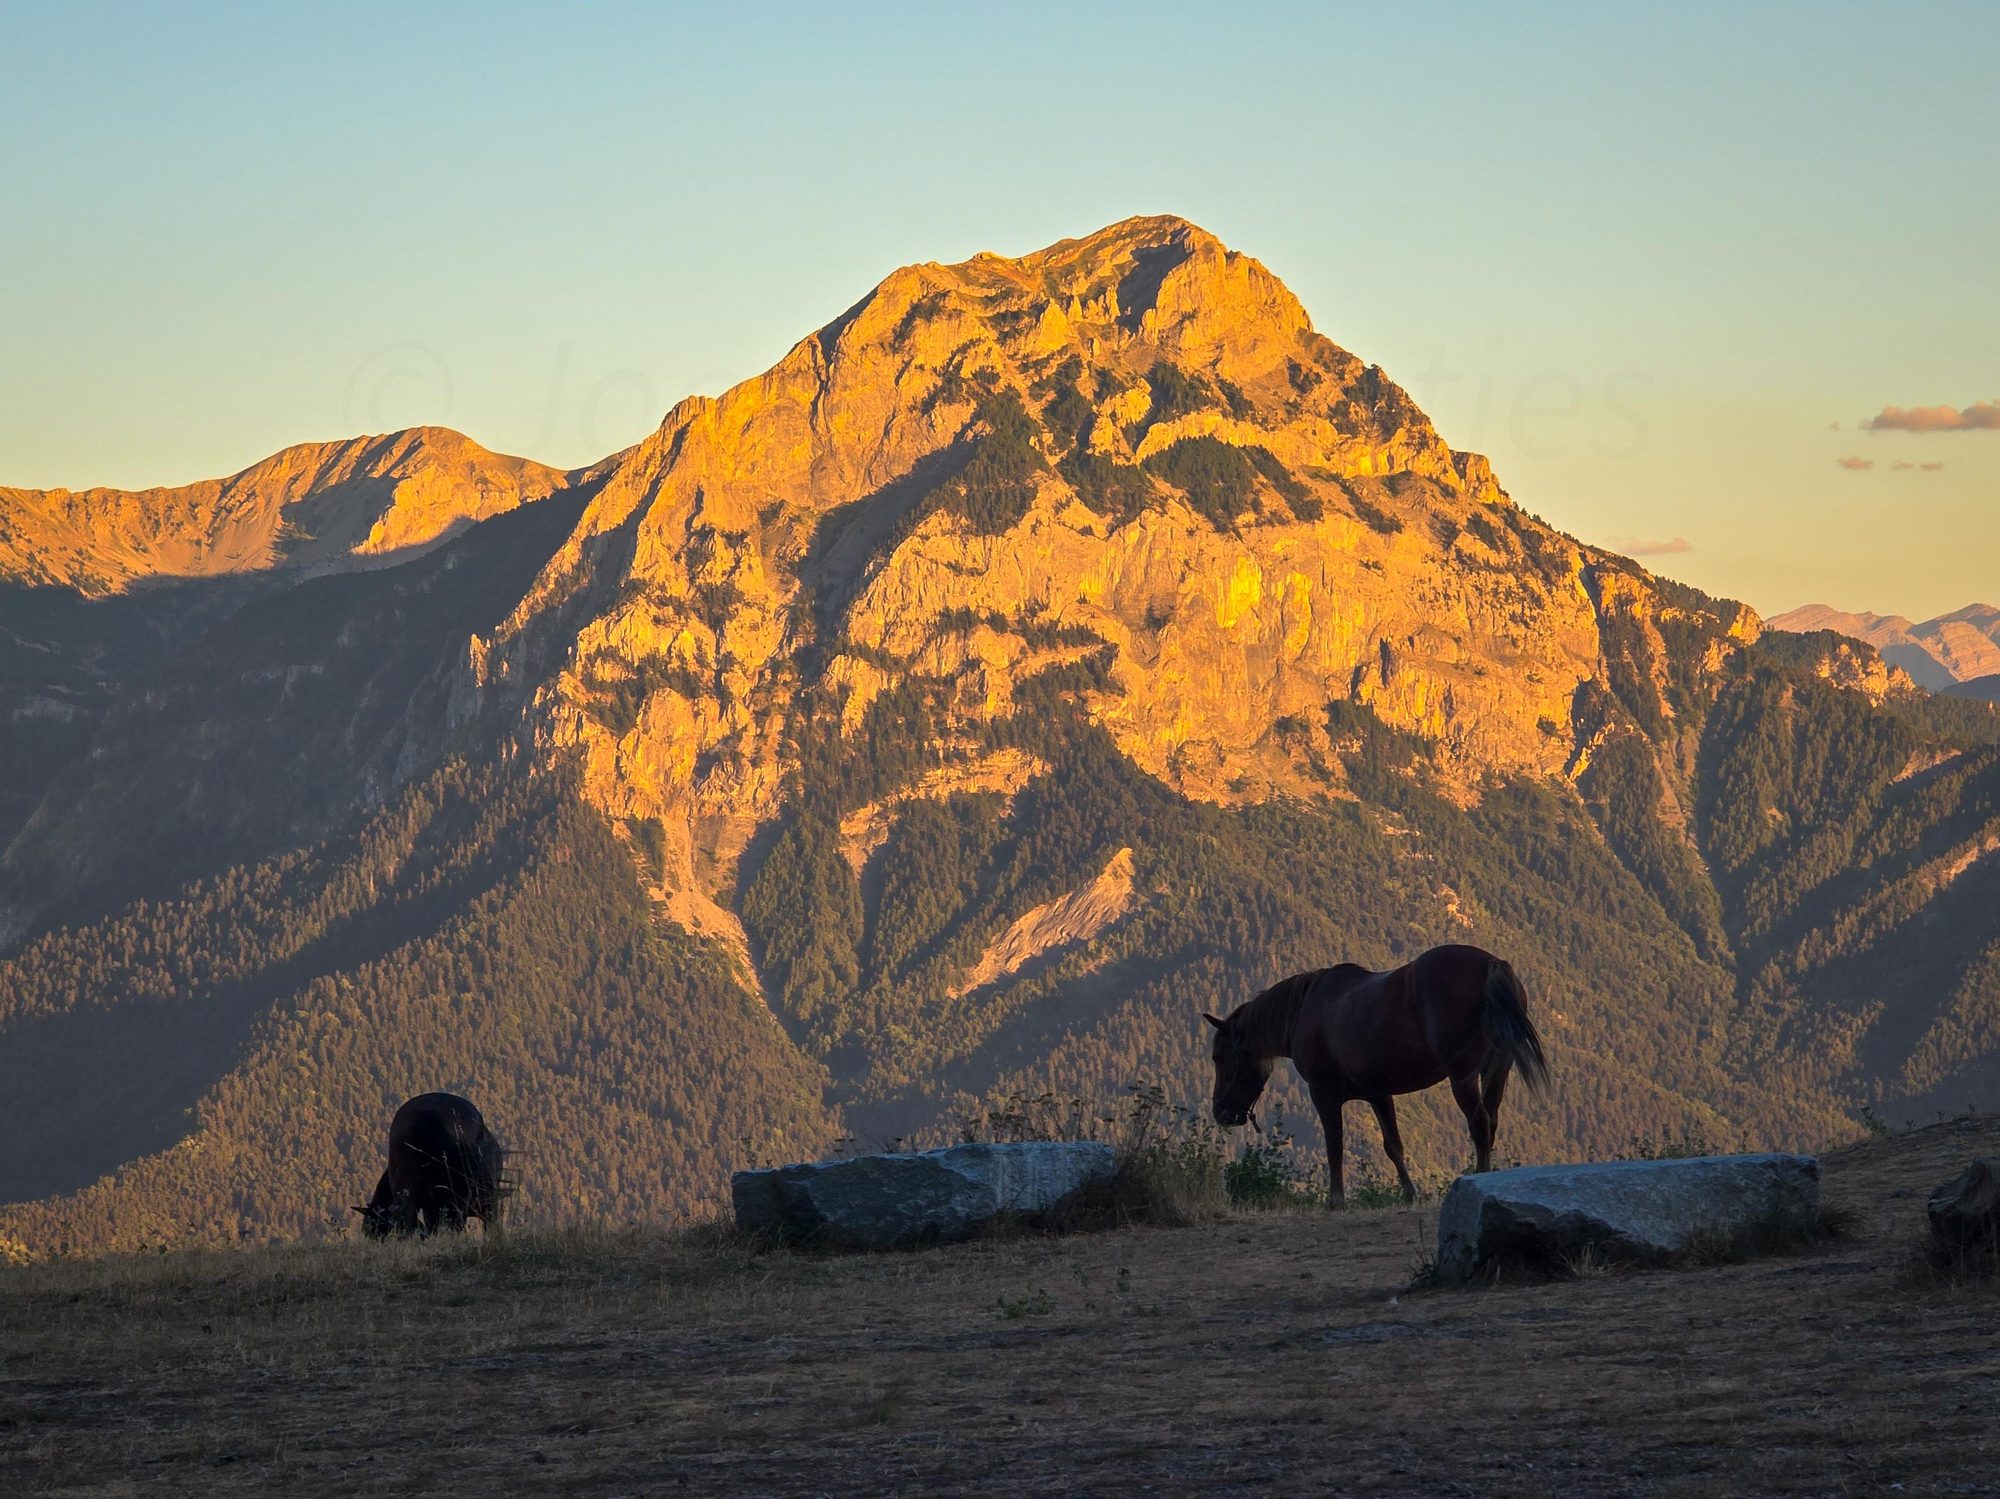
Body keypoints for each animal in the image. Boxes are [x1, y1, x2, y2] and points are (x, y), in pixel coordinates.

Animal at [1204, 943, 1549, 1205]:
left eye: (1219, 1057)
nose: (1220, 1111)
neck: (1305, 1009)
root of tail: (1491, 964)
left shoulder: (1324, 1094)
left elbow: (1335, 1145)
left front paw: (1336, 1200)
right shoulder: (1378, 1093)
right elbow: (1393, 1145)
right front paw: (1409, 1194)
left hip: (1463, 1077)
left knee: (1478, 1124)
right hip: (1496, 1071)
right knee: (1491, 1121)